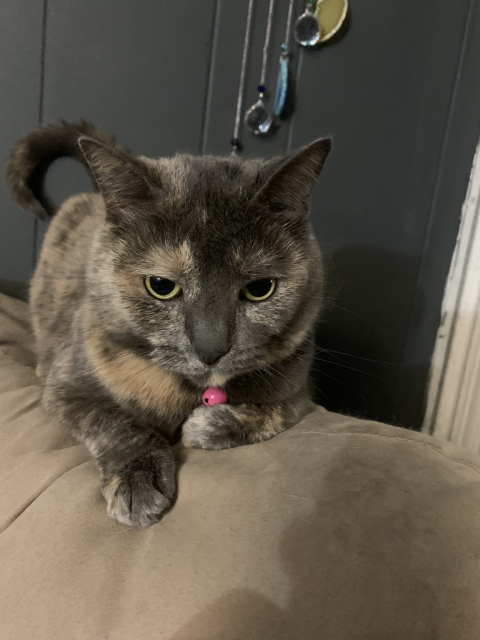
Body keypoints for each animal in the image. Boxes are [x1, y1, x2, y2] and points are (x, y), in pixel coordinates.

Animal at [6, 122, 330, 528]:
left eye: (260, 289)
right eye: (161, 286)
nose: (211, 348)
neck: (194, 391)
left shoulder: (301, 384)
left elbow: (277, 410)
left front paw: (208, 426)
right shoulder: (66, 387)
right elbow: (113, 421)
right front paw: (138, 482)